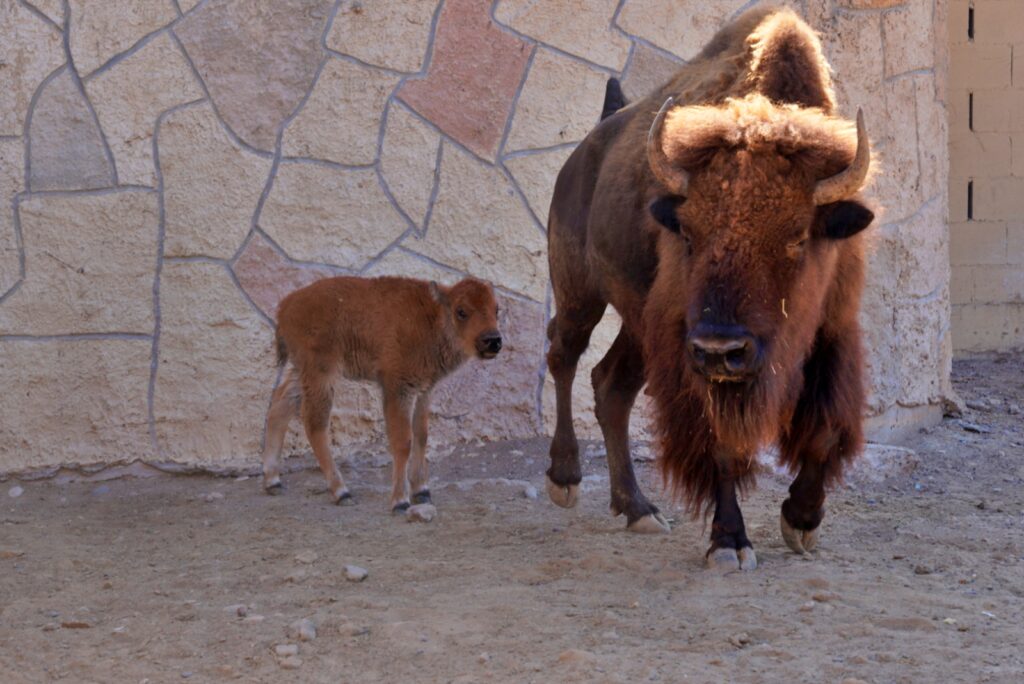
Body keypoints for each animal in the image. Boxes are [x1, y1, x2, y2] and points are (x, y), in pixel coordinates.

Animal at [260, 274, 499, 509]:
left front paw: (422, 492)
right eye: (461, 311)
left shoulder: (424, 390)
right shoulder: (398, 388)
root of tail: (285, 306)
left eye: (496, 309)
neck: (432, 317)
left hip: (301, 372)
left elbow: (421, 435)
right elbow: (402, 441)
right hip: (321, 374)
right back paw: (342, 492)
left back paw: (273, 481)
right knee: (315, 425)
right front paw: (400, 501)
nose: (493, 340)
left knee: (279, 407)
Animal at [548, 7, 876, 569]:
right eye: (688, 233)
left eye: (797, 236)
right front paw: (729, 542)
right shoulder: (696, 354)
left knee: (610, 385)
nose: (722, 348)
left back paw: (638, 509)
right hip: (579, 294)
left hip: (639, 324)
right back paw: (564, 479)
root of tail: (586, 148)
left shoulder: (832, 330)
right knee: (563, 356)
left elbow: (826, 430)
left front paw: (801, 520)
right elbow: (723, 443)